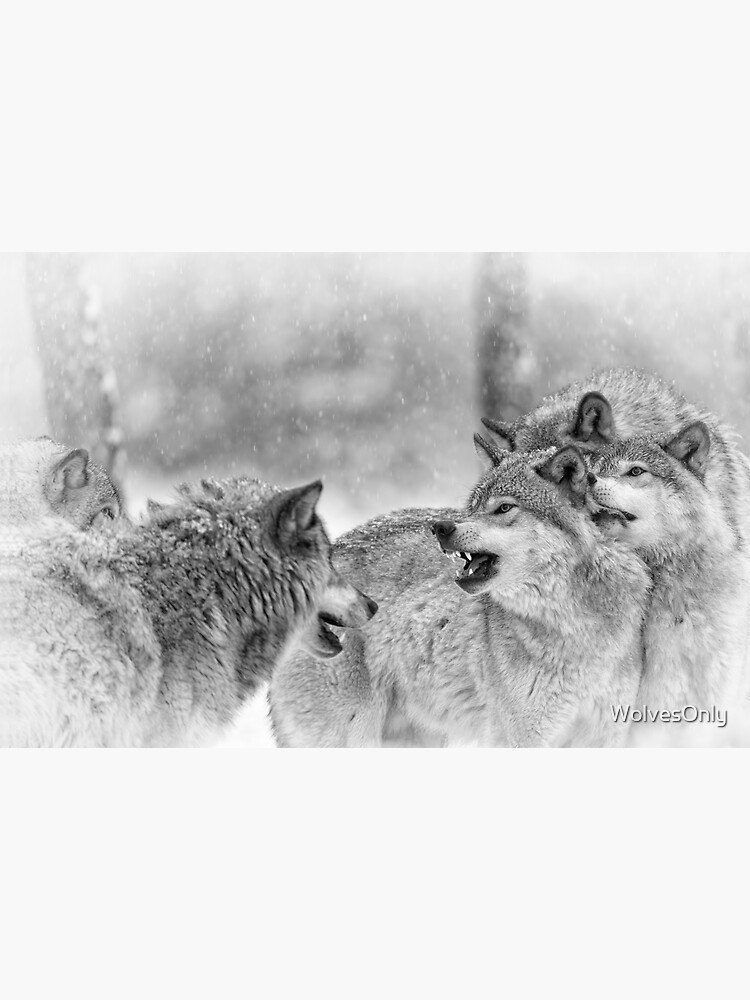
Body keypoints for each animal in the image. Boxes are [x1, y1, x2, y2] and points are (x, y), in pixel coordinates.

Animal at [270, 446, 651, 747]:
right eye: (473, 506)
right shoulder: (522, 737)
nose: (441, 527)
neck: (576, 623)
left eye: (503, 508)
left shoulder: (606, 734)